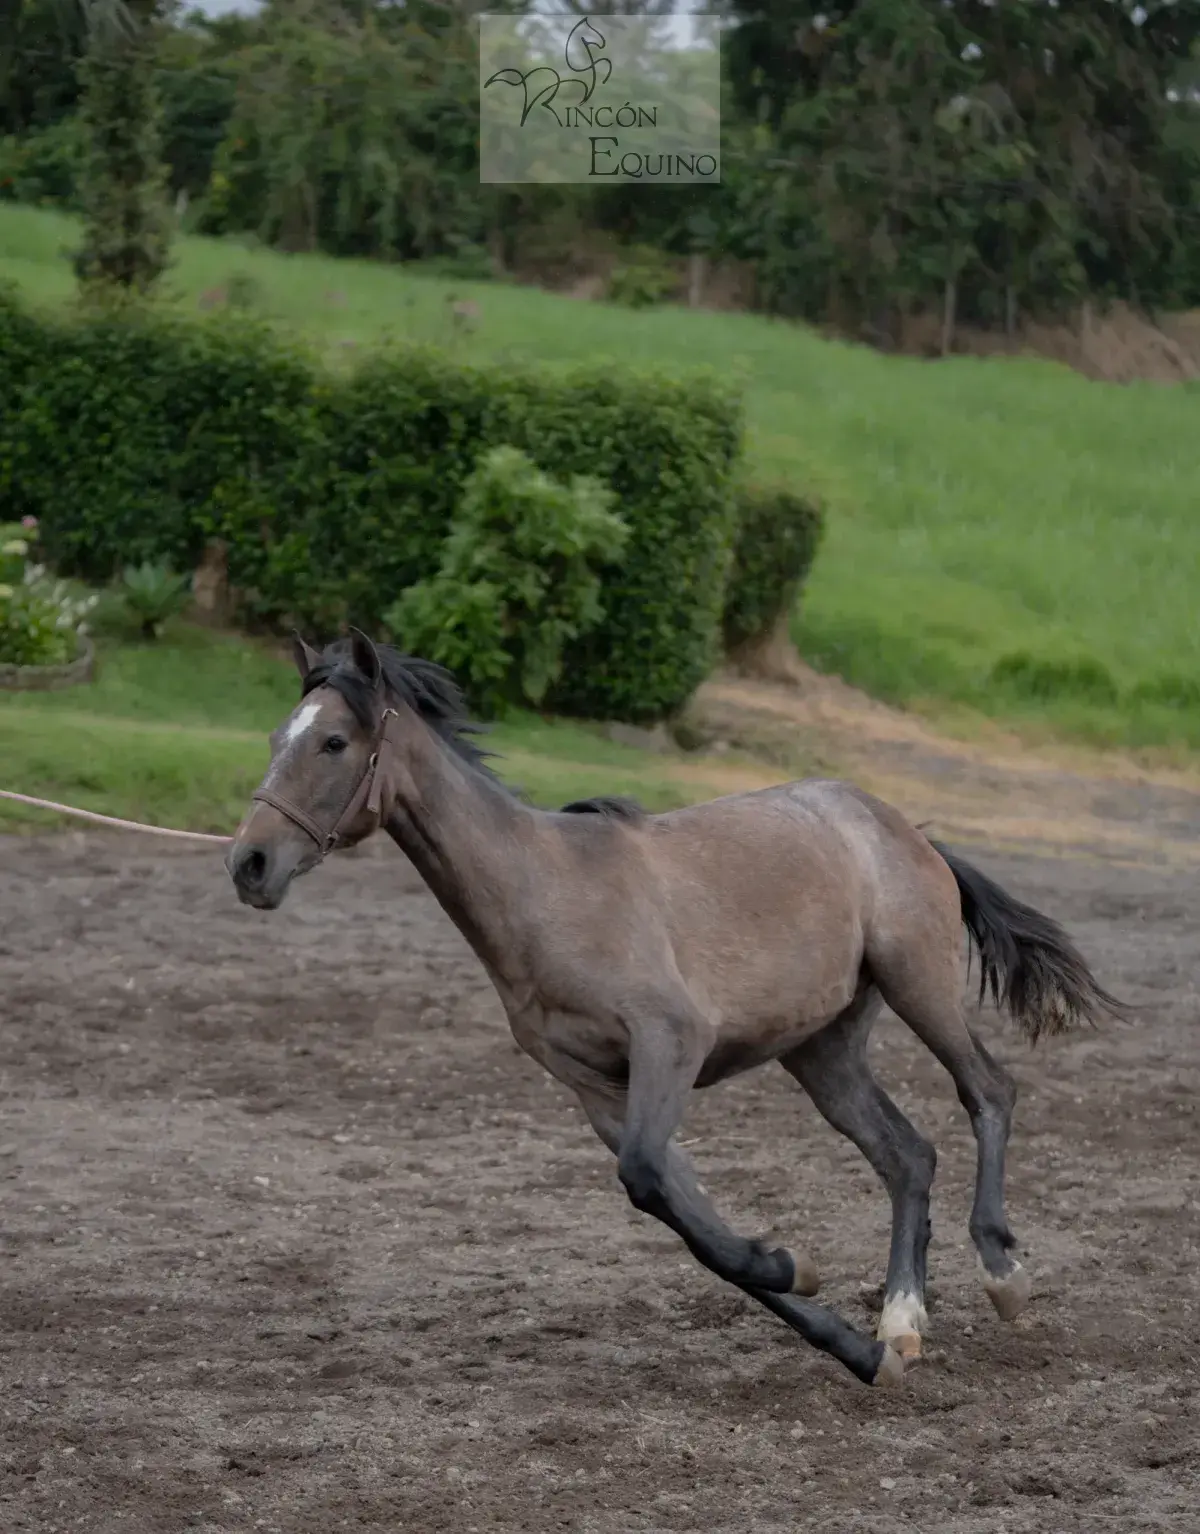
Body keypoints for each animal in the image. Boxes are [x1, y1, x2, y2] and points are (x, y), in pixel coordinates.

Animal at [225, 629, 1129, 1388]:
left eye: (333, 743)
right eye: (274, 740)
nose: (250, 864)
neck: (545, 892)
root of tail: (906, 827)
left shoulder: (671, 1042)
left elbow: (651, 1181)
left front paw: (795, 1268)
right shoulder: (597, 1089)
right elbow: (684, 1215)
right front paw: (844, 1334)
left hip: (919, 982)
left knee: (989, 1092)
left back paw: (1003, 1275)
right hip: (822, 1049)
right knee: (908, 1155)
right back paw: (901, 1322)